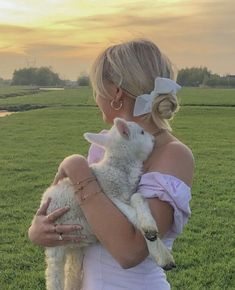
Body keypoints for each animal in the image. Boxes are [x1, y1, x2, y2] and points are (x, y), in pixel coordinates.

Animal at [40, 117, 174, 290]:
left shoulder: (128, 193)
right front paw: (160, 250)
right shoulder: (111, 196)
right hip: (57, 243)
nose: (154, 139)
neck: (118, 169)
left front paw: (150, 229)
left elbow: (138, 197)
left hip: (76, 247)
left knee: (72, 272)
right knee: (54, 276)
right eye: (142, 132)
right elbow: (133, 216)